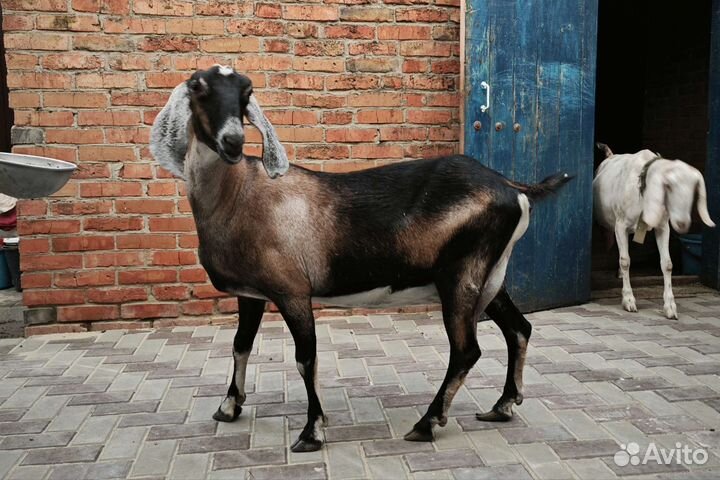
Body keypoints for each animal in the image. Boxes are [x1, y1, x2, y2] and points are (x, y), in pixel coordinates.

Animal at [150, 66, 572, 452]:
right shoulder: (251, 293)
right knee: (518, 328)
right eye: (197, 86)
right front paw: (228, 407)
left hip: (461, 276)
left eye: (246, 91)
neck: (239, 195)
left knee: (467, 349)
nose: (233, 141)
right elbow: (240, 344)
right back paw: (502, 405)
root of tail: (511, 186)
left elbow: (306, 359)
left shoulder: (292, 291)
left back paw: (427, 423)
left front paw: (311, 432)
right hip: (490, 277)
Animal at [593, 143, 715, 319]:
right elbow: (625, 260)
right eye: (669, 187)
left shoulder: (663, 227)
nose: (682, 223)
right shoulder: (621, 225)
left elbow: (667, 264)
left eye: (694, 191)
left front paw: (670, 307)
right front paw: (628, 300)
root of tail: (610, 155)